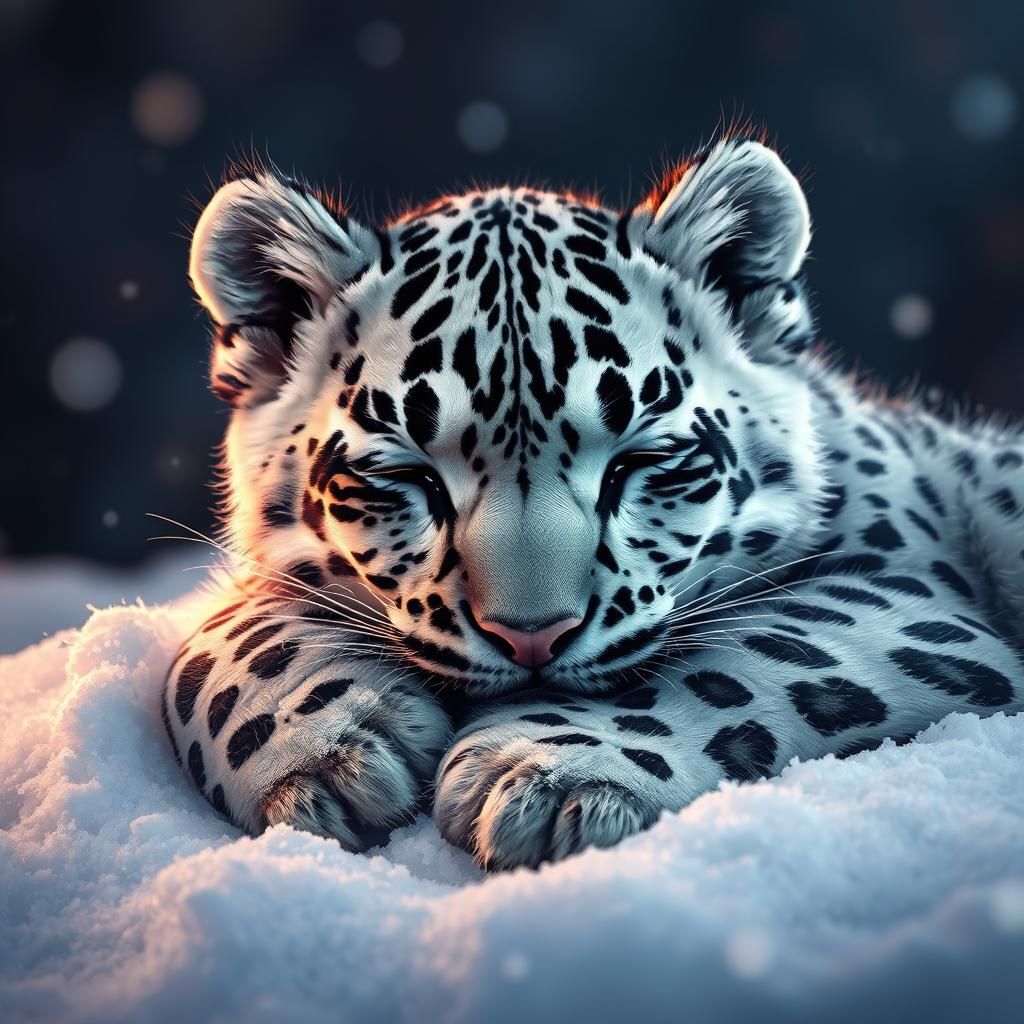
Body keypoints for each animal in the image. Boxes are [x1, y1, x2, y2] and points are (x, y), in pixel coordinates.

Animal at [163, 136, 1024, 870]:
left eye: (641, 461)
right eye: (406, 474)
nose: (532, 639)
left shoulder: (902, 595)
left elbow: (738, 659)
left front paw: (544, 777)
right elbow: (210, 646)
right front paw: (328, 759)